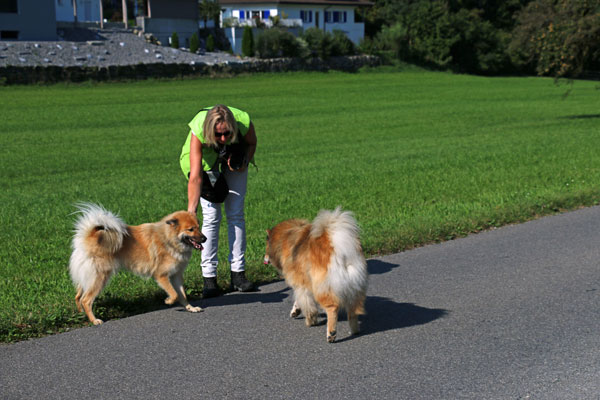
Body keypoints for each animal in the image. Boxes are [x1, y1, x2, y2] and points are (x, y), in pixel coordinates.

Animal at [69, 203, 206, 324]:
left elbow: (182, 295)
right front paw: (168, 301)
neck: (169, 239)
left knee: (78, 296)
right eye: (190, 229)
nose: (205, 239)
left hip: (87, 277)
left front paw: (190, 308)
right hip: (99, 277)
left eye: (198, 227)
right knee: (86, 300)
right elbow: (175, 294)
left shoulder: (176, 275)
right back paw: (94, 320)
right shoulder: (161, 276)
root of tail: (88, 236)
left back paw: (82, 315)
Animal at [264, 208, 368, 342]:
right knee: (353, 311)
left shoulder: (300, 282)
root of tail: (339, 244)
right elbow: (300, 299)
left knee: (332, 308)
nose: (265, 259)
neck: (285, 236)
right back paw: (354, 330)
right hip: (354, 287)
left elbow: (307, 304)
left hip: (323, 287)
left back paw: (331, 333)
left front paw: (310, 321)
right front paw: (296, 311)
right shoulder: (304, 283)